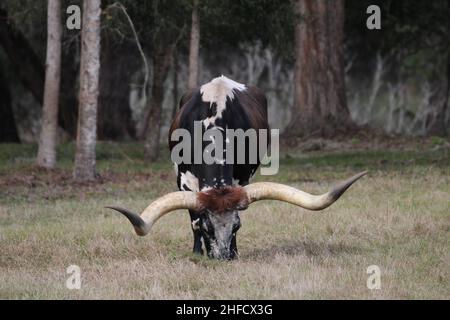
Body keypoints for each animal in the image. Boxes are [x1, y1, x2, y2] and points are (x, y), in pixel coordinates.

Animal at [107, 75, 368, 260]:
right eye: (208, 228)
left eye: (236, 227)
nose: (224, 258)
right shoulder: (183, 180)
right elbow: (192, 219)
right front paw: (196, 253)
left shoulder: (241, 179)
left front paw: (234, 250)